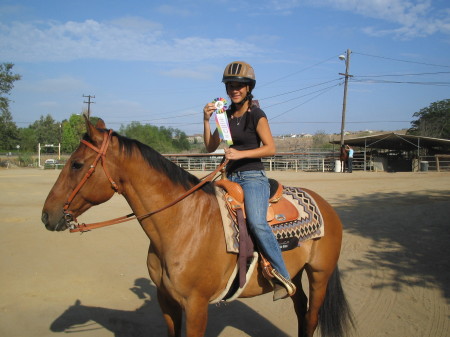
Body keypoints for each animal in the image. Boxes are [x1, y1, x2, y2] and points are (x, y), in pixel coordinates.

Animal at [41, 118, 352, 336]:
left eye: (77, 164)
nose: (46, 215)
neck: (182, 223)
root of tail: (324, 205)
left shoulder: (196, 306)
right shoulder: (166, 301)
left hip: (319, 275)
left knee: (311, 318)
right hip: (296, 275)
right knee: (300, 310)